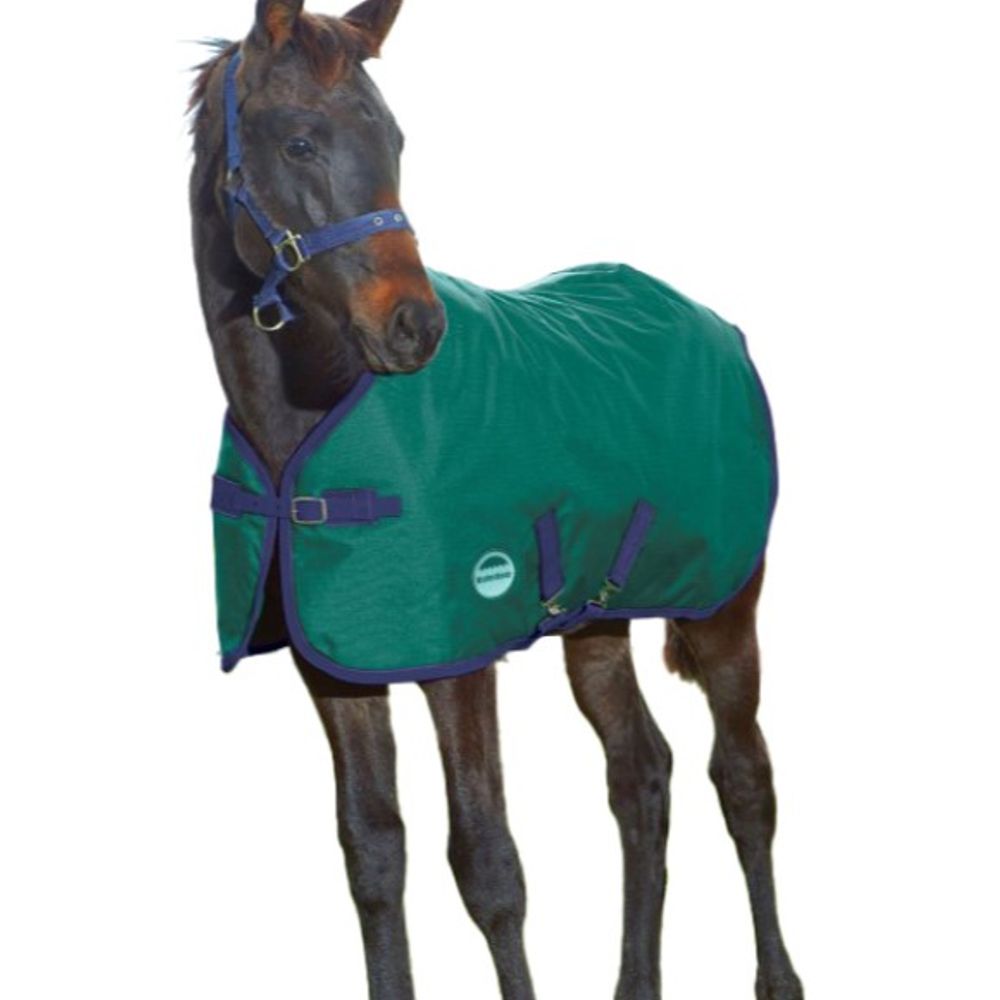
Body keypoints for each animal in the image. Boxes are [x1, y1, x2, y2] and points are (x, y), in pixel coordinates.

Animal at [187, 2, 803, 998]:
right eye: (300, 141)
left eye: (396, 138)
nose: (414, 326)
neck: (308, 418)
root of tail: (717, 322)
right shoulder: (334, 666)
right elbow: (374, 855)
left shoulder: (460, 657)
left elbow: (487, 864)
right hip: (597, 620)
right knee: (642, 773)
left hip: (724, 605)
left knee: (743, 775)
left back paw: (778, 978)